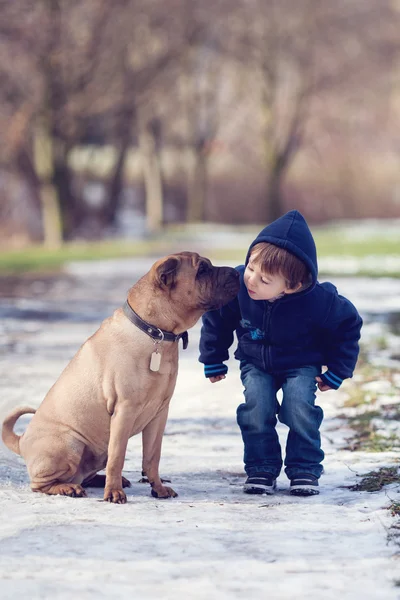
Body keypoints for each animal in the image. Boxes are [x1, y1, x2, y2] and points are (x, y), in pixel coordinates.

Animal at [2, 251, 241, 504]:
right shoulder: (124, 410)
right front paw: (114, 492)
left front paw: (158, 488)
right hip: (70, 444)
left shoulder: (159, 414)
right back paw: (68, 488)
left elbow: (152, 457)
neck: (155, 332)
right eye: (202, 270)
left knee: (84, 475)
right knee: (41, 484)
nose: (236, 273)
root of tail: (21, 441)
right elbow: (118, 456)